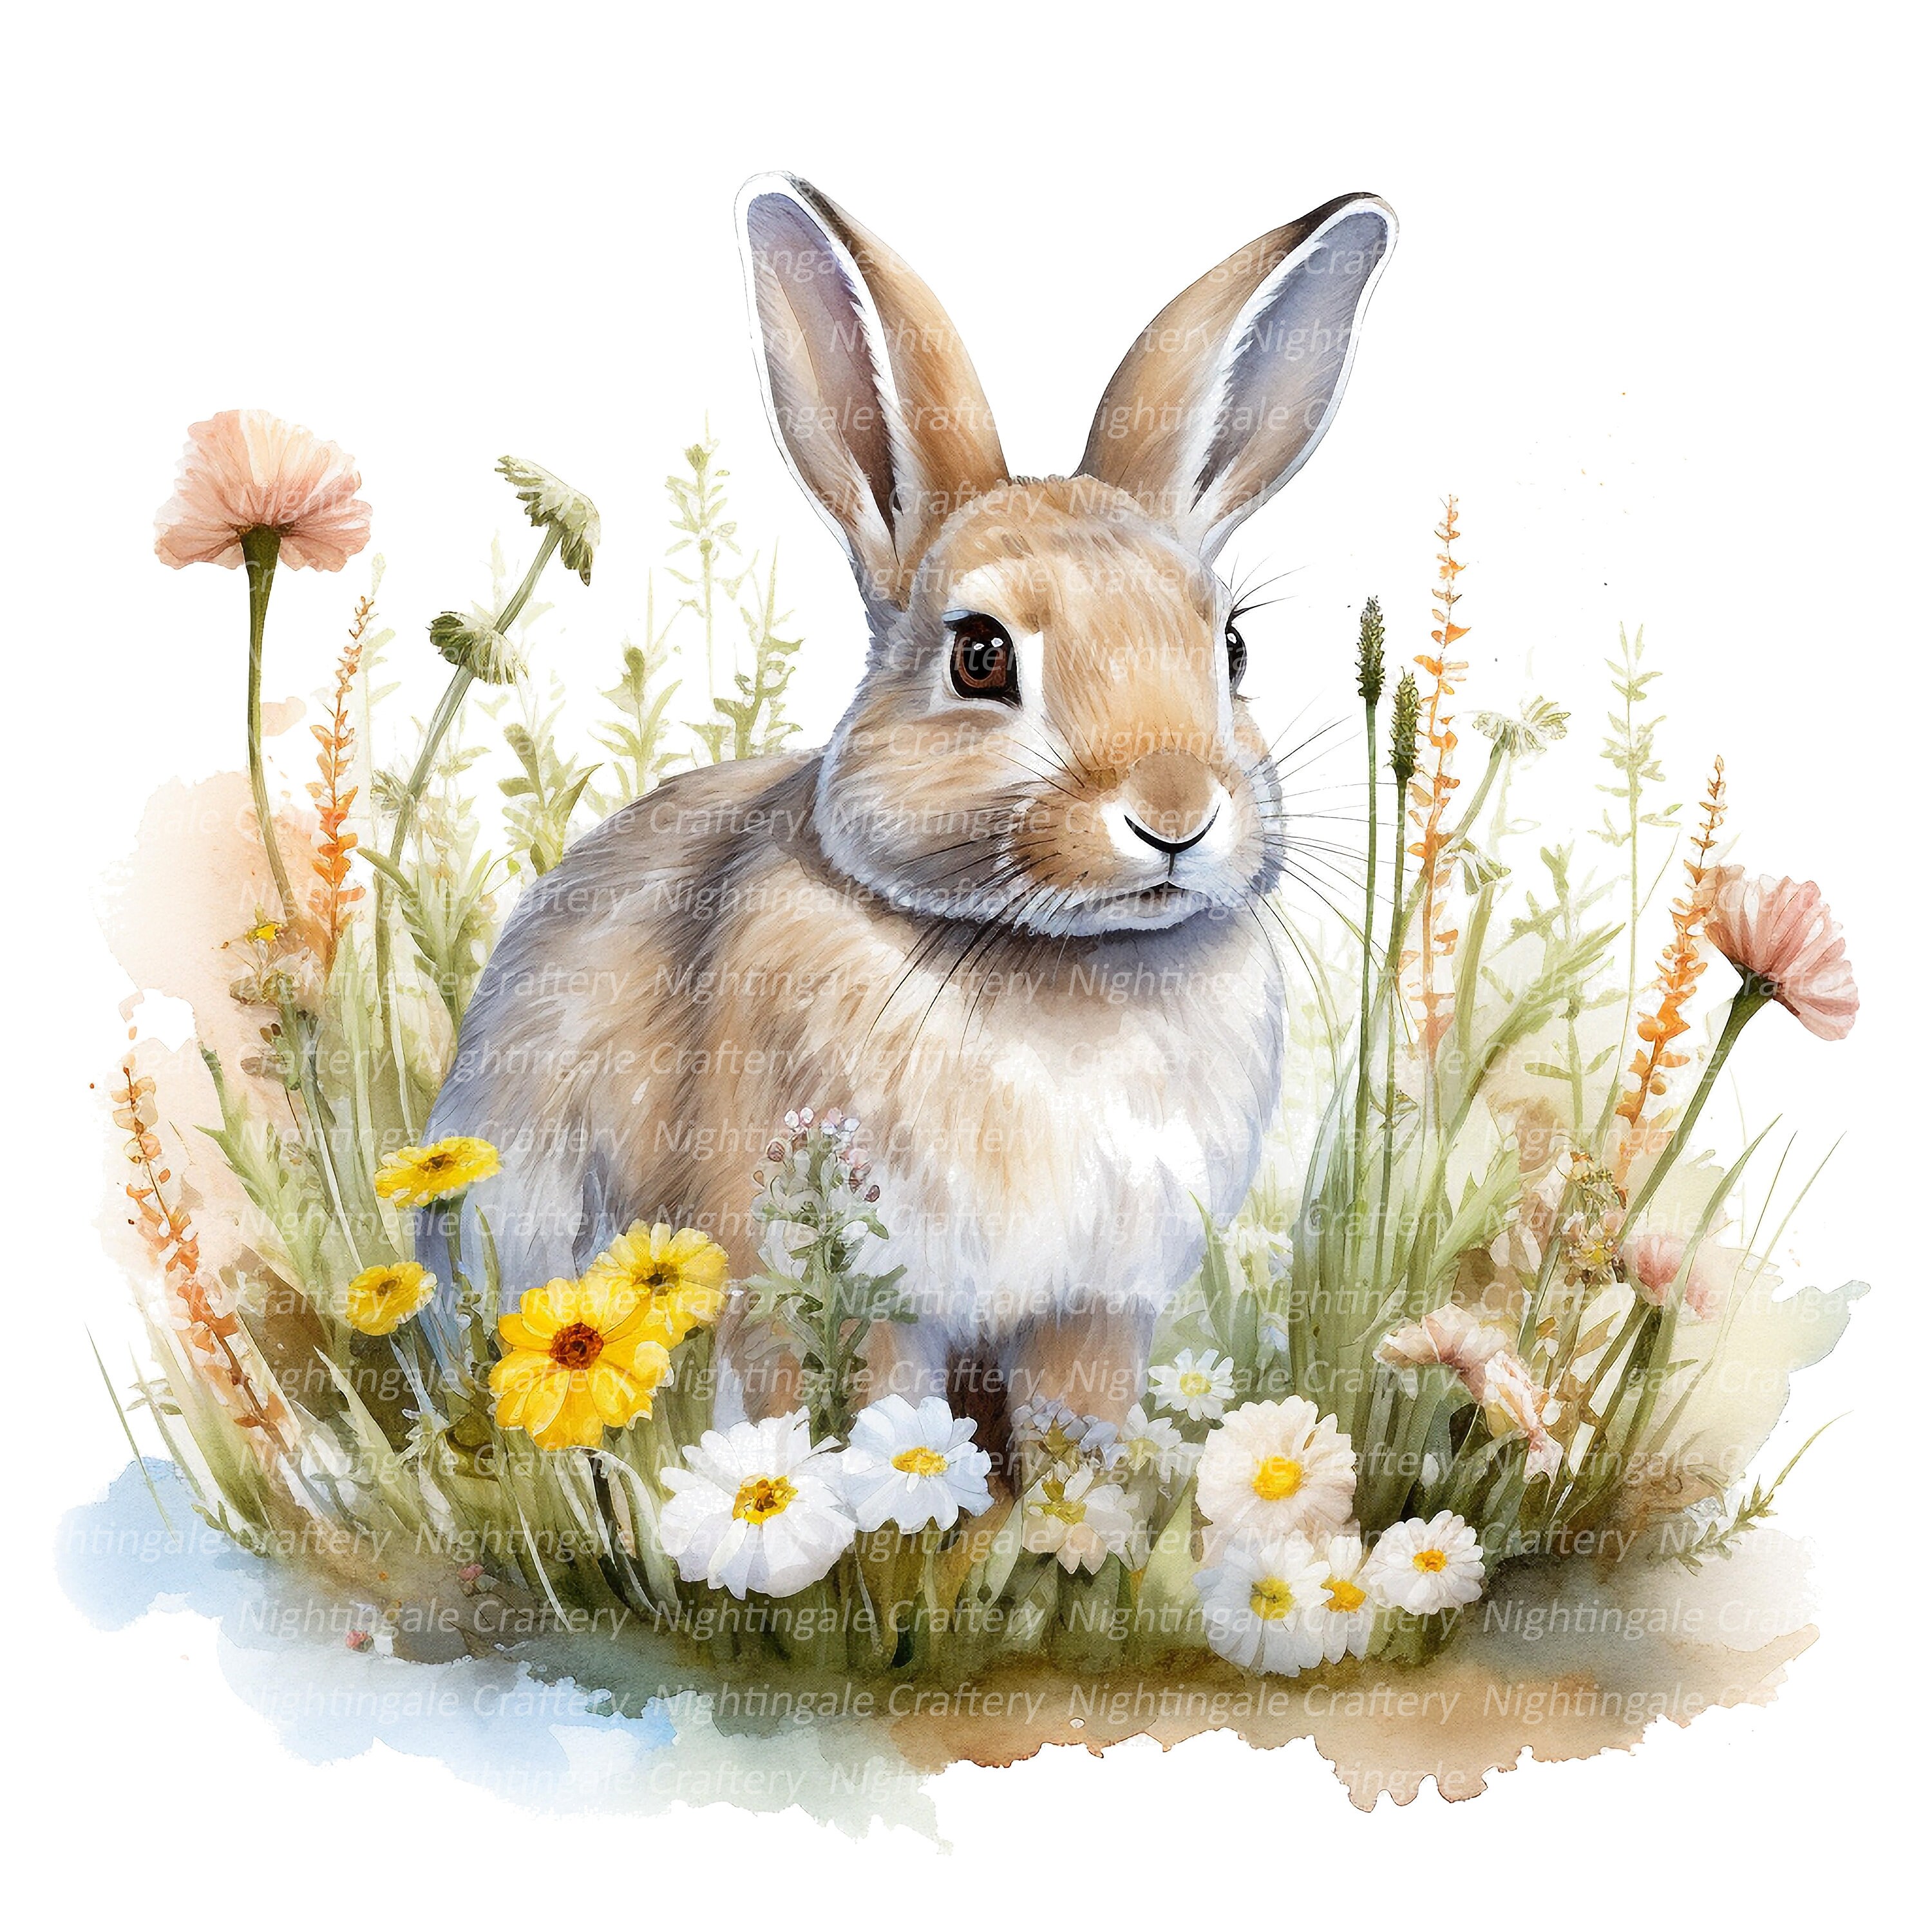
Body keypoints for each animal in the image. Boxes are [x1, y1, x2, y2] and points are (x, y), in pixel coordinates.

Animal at [422, 172, 1395, 1440]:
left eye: (1230, 647)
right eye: (981, 657)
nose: (1175, 812)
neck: (1053, 962)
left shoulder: (1095, 1306)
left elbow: (1080, 1432)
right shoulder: (818, 1280)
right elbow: (865, 1420)